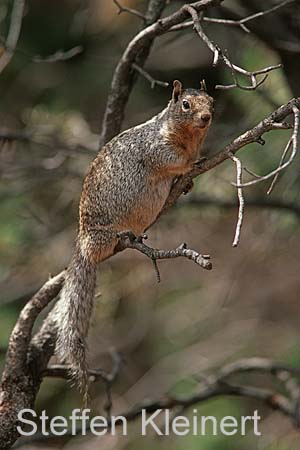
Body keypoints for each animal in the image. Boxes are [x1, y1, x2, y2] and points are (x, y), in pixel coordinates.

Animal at [52, 79, 214, 396]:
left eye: (212, 101)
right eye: (185, 104)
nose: (206, 117)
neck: (190, 137)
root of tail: (83, 245)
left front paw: (188, 181)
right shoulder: (156, 149)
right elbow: (173, 160)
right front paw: (192, 163)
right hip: (101, 234)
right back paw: (122, 234)